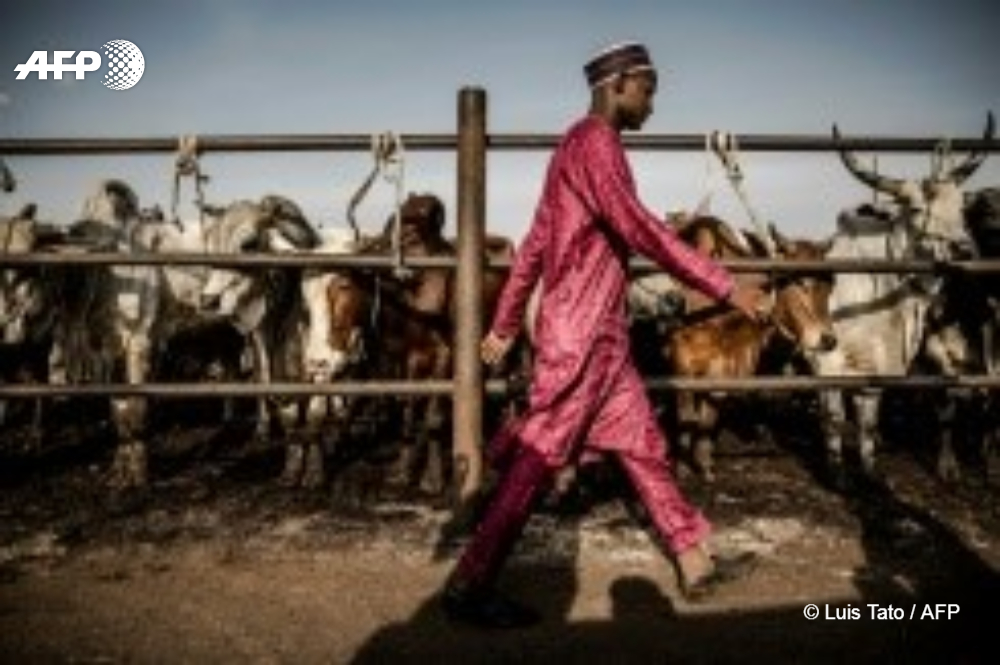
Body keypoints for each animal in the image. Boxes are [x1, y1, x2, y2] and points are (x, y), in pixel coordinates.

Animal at [809, 114, 992, 489]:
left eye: (961, 207)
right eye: (916, 208)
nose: (965, 249)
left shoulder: (882, 364)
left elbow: (868, 418)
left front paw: (870, 471)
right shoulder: (827, 360)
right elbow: (833, 414)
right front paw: (836, 473)